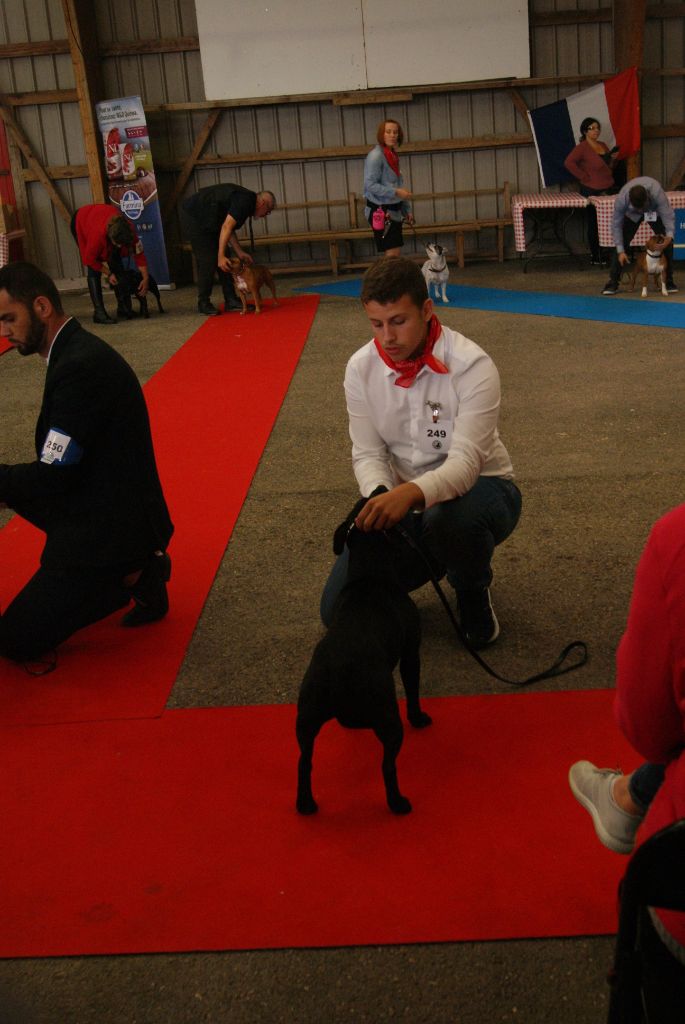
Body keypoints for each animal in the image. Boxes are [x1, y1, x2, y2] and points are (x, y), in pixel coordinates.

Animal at [295, 497, 432, 816]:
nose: (380, 489)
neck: (369, 574)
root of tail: (337, 676)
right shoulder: (410, 653)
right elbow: (413, 688)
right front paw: (419, 717)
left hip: (306, 718)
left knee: (304, 762)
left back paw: (306, 804)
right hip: (389, 720)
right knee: (387, 766)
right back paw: (398, 803)